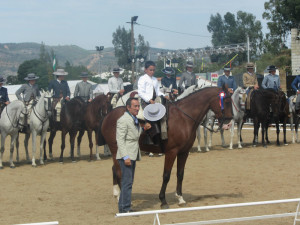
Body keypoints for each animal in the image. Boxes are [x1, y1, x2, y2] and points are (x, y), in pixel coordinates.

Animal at [98, 85, 232, 208]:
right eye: (226, 101)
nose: (229, 122)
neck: (183, 117)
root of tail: (108, 116)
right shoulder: (171, 152)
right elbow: (166, 175)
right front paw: (163, 200)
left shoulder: (184, 152)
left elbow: (180, 174)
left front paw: (180, 198)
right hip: (116, 149)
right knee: (119, 172)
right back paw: (122, 199)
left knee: (115, 169)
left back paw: (117, 195)